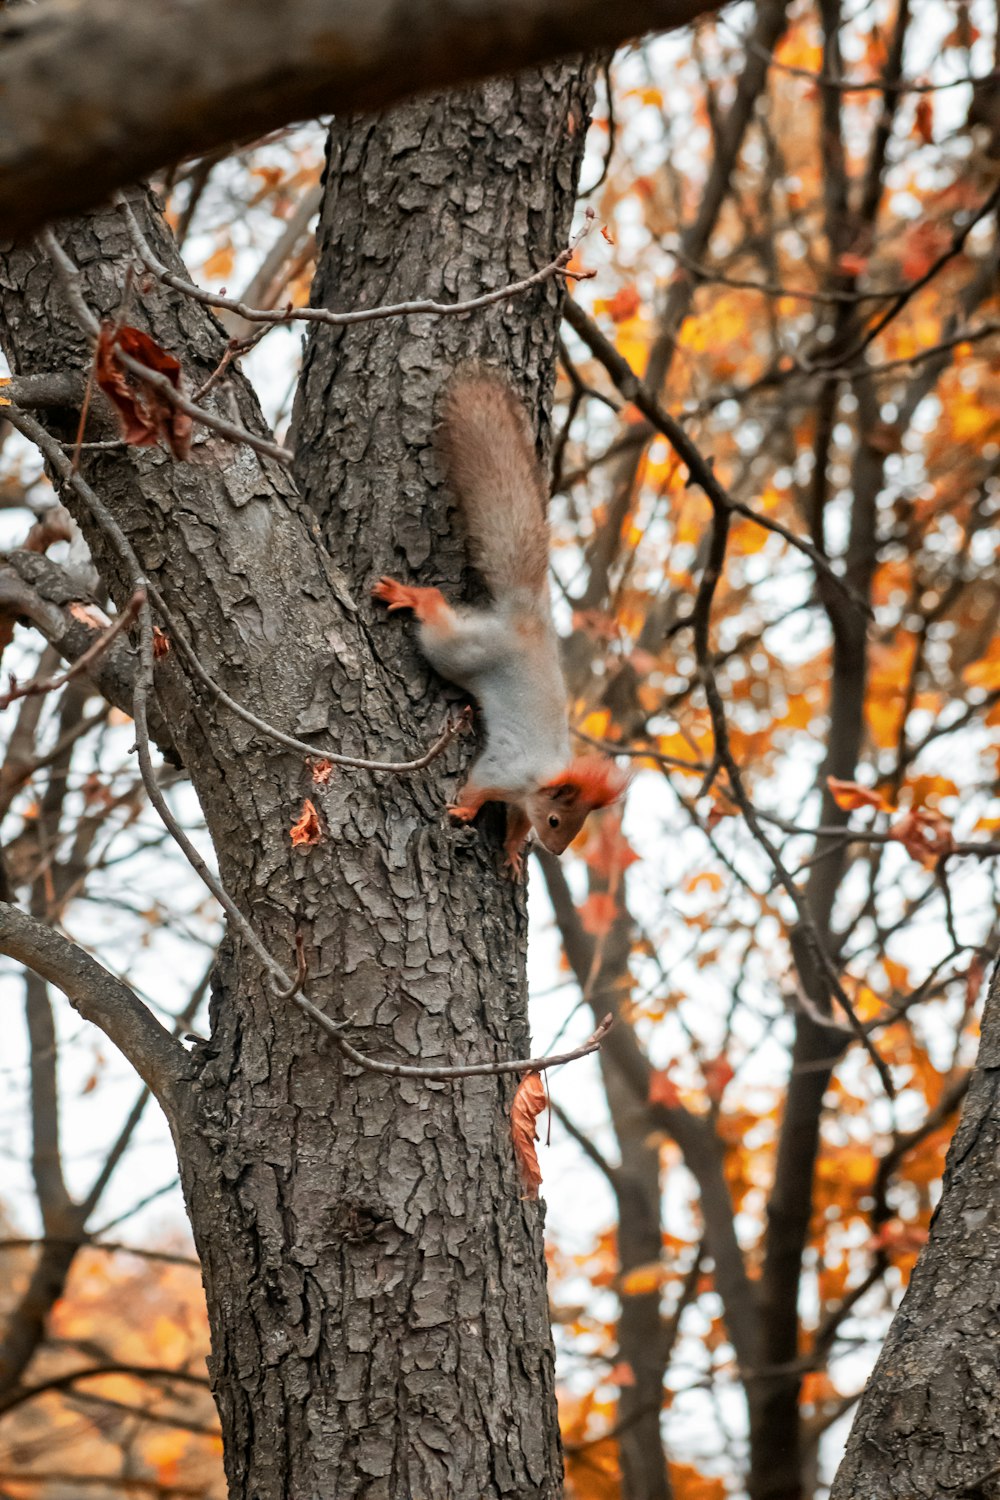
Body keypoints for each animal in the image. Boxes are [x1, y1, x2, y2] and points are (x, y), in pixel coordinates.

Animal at [373, 367, 626, 876]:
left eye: (573, 829)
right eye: (557, 821)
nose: (556, 852)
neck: (540, 778)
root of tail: (525, 618)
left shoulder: (520, 800)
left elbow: (515, 823)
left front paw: (510, 853)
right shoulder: (505, 770)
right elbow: (479, 785)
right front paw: (464, 810)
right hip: (461, 651)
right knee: (436, 612)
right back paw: (411, 596)